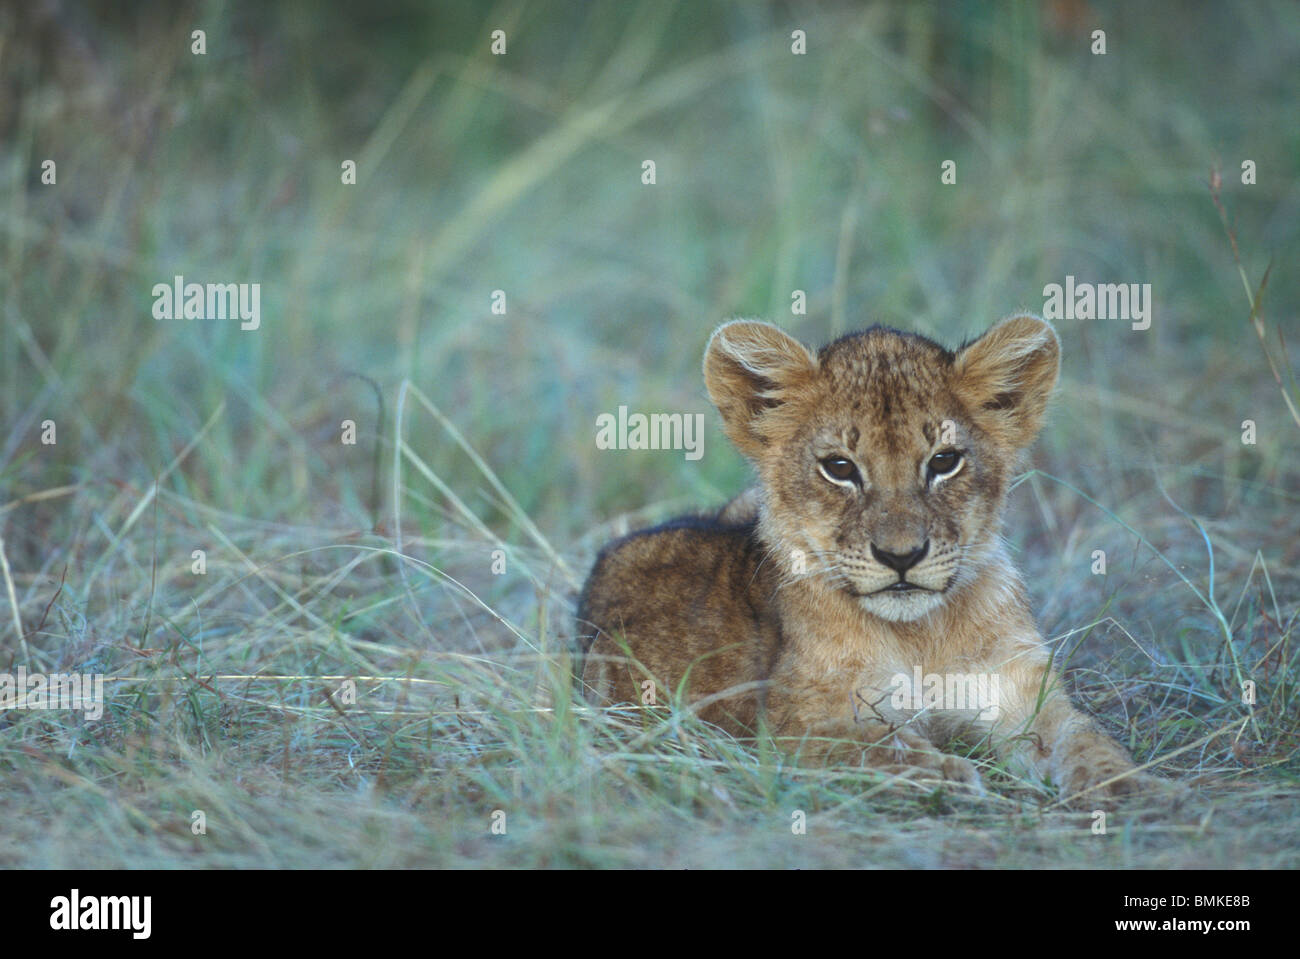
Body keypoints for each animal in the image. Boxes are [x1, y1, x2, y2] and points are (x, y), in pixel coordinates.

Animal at [577, 314, 1168, 804]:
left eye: (945, 461)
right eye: (839, 467)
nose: (900, 555)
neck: (920, 636)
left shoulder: (1023, 695)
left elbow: (1086, 739)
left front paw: (1137, 789)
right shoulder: (792, 726)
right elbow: (879, 747)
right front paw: (948, 775)